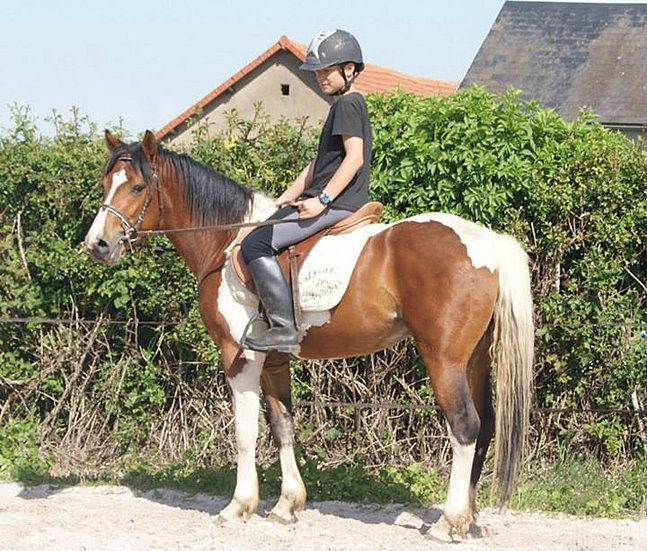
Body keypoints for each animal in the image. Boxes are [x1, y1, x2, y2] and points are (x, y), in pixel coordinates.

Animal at [83, 130, 536, 544]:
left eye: (137, 187)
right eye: (106, 184)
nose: (97, 245)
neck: (225, 243)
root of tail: (487, 242)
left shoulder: (239, 358)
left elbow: (245, 433)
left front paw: (238, 506)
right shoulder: (273, 361)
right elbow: (282, 427)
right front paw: (287, 505)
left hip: (443, 360)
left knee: (464, 426)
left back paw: (448, 522)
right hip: (474, 359)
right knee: (486, 426)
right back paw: (469, 521)